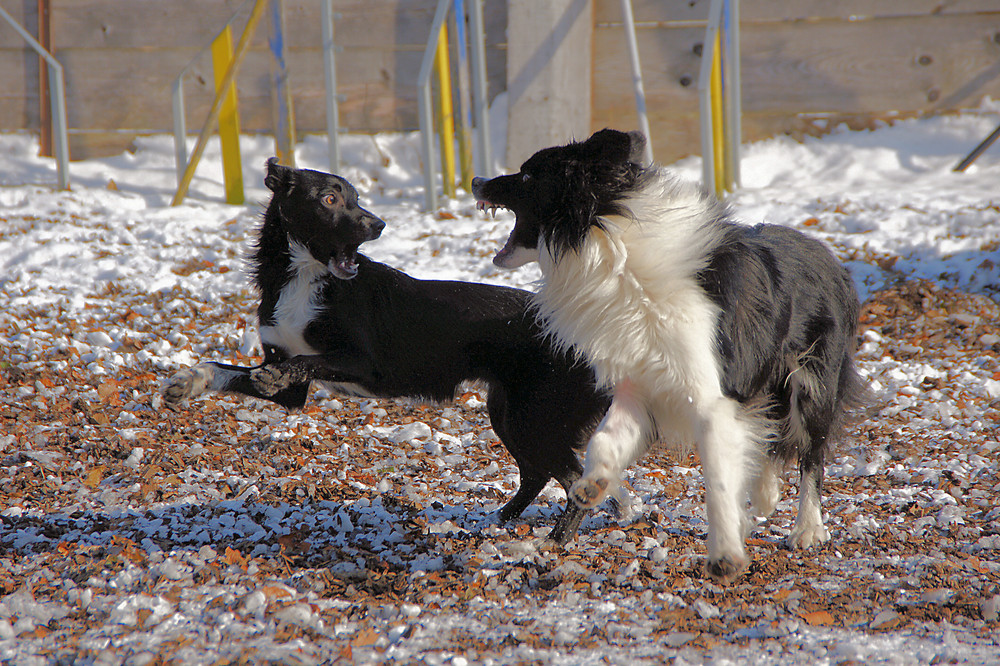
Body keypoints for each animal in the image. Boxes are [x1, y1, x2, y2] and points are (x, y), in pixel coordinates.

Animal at [164, 160, 608, 540]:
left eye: (357, 197)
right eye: (329, 199)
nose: (378, 224)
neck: (305, 276)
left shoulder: (368, 365)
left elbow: (304, 361)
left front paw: (274, 373)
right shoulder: (290, 388)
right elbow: (224, 369)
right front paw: (186, 383)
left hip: (533, 418)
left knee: (573, 481)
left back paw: (556, 540)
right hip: (510, 414)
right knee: (536, 475)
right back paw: (500, 520)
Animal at [470, 127, 868, 580]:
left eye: (527, 176)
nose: (475, 181)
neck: (614, 251)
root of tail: (831, 257)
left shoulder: (711, 398)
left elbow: (719, 479)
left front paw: (725, 553)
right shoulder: (639, 386)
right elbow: (604, 440)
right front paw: (593, 485)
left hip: (812, 380)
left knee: (812, 452)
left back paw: (807, 528)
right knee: (770, 429)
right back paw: (765, 492)